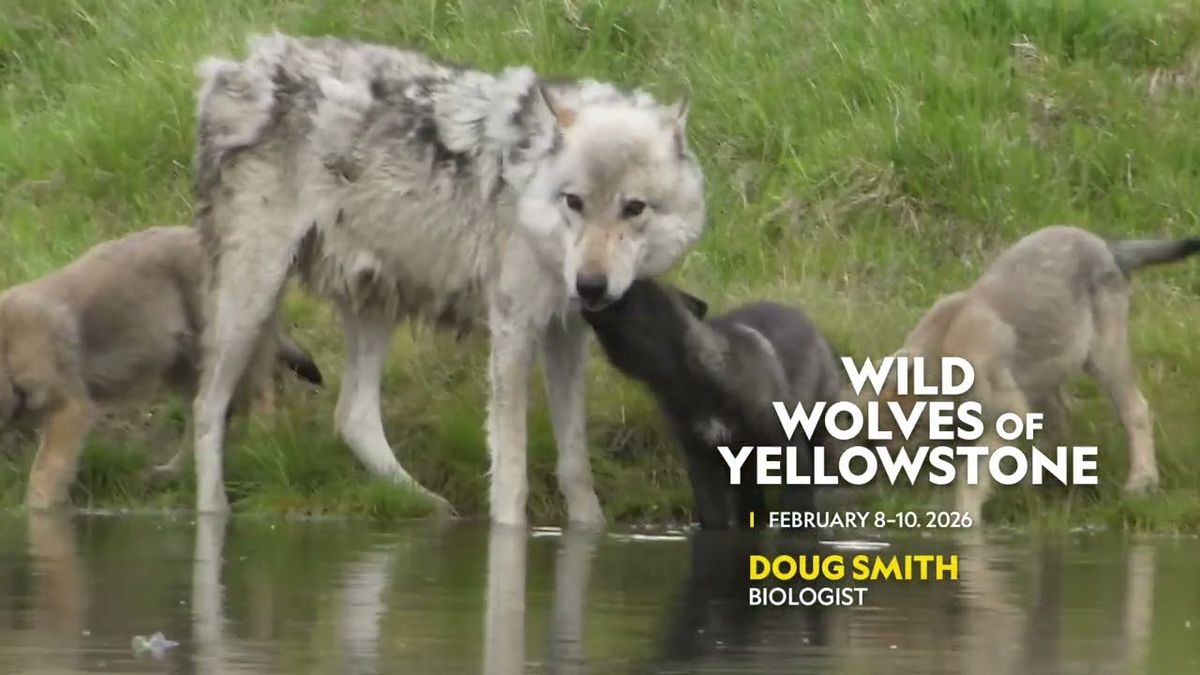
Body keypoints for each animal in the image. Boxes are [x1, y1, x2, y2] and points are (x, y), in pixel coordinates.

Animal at [0, 225, 322, 510]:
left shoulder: (71, 407)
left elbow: (43, 477)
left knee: (265, 391)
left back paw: (261, 443)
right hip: (182, 369)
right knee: (208, 420)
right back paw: (173, 472)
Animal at [190, 34, 705, 523]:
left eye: (634, 208)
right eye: (574, 202)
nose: (591, 285)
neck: (529, 181)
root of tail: (232, 70)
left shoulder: (567, 332)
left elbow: (576, 464)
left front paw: (588, 529)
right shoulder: (514, 330)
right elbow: (511, 472)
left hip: (373, 299)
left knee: (352, 416)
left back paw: (428, 505)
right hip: (253, 298)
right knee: (206, 407)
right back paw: (213, 513)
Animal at [885, 225, 1200, 517]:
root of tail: (1104, 244)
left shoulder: (1009, 413)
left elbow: (970, 476)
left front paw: (965, 521)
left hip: (1102, 357)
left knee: (1135, 410)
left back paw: (1141, 482)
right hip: (1045, 370)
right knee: (1059, 420)